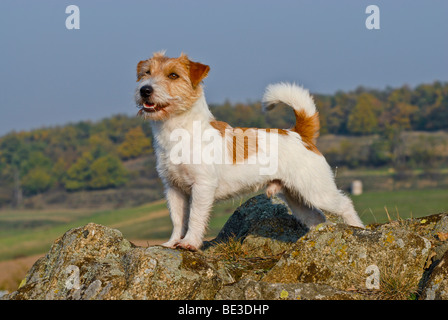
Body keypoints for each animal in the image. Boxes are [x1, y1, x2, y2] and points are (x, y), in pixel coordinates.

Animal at [134, 51, 364, 250]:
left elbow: (195, 218)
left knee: (345, 204)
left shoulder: (202, 186)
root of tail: (300, 134)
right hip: (296, 197)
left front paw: (189, 243)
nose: (144, 90)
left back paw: (358, 229)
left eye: (173, 75)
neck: (179, 130)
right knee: (316, 218)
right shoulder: (173, 188)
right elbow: (177, 219)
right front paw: (172, 243)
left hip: (318, 191)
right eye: (146, 73)